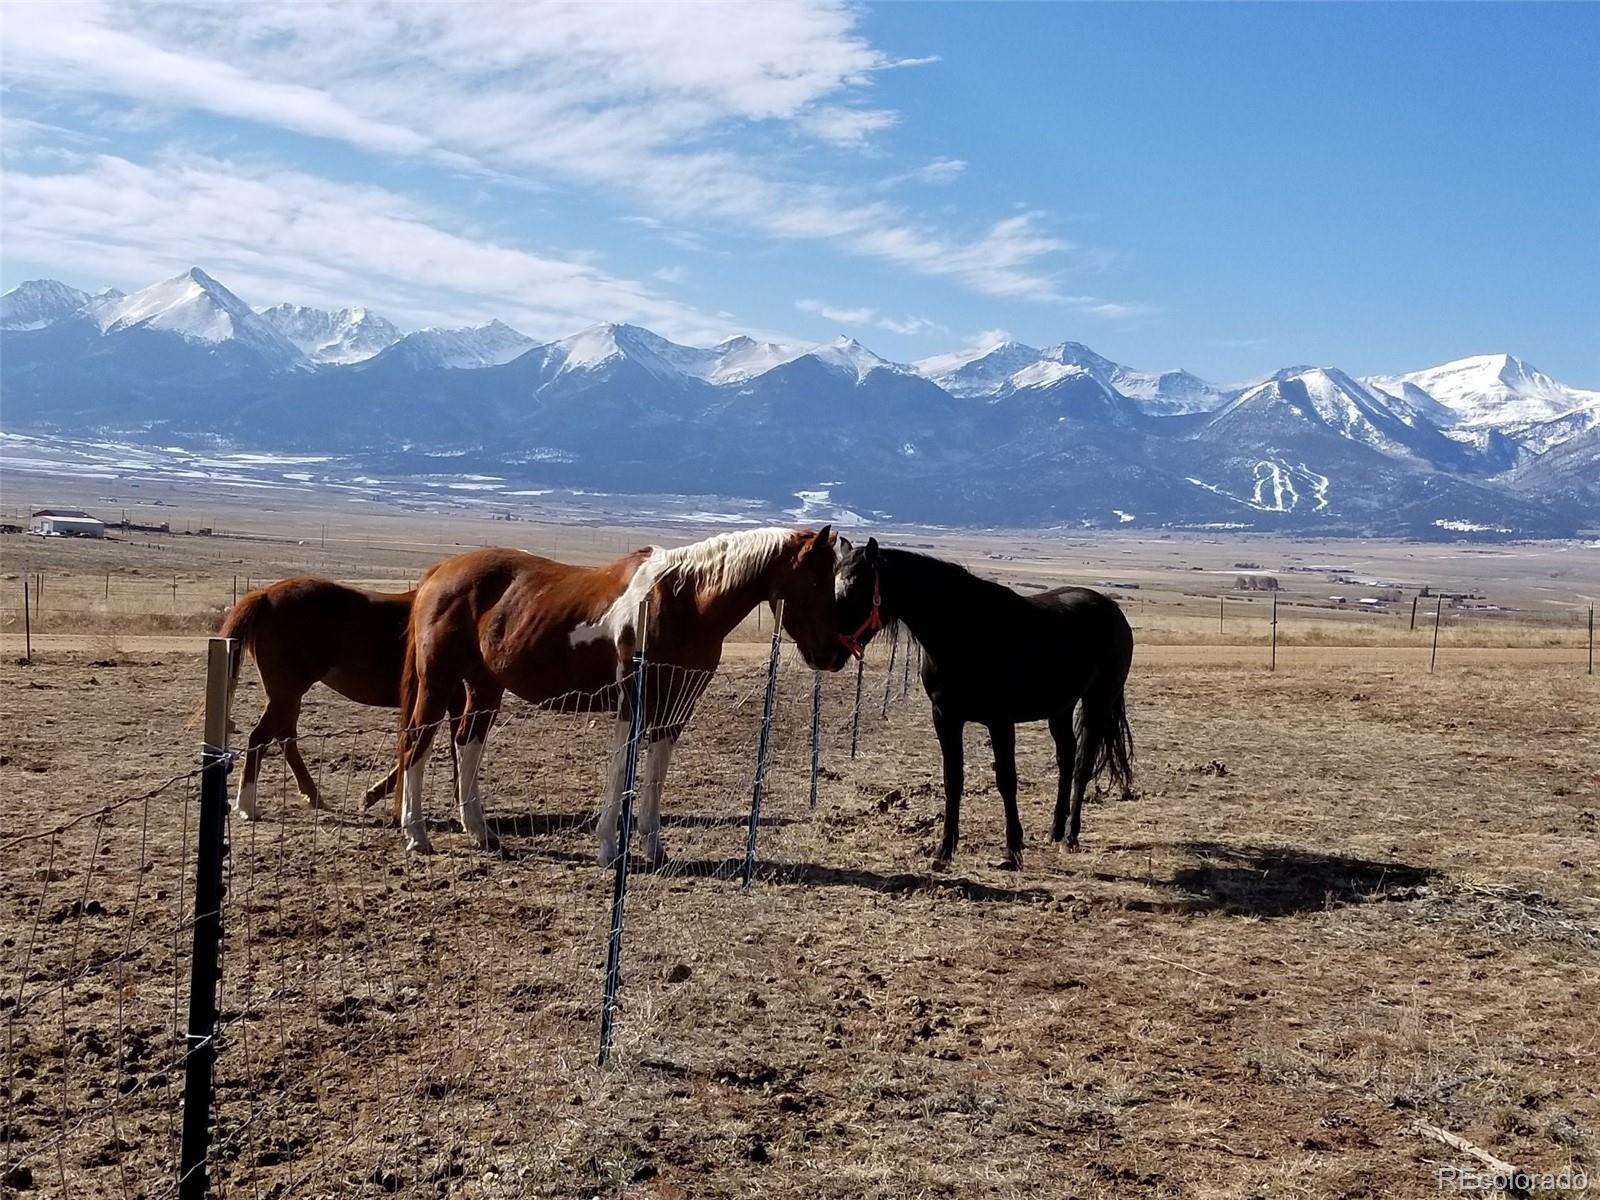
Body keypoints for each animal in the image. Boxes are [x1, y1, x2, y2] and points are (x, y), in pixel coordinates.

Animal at [222, 579, 441, 825]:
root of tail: (266, 595)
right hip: (286, 693)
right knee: (261, 736)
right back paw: (247, 806)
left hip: (287, 696)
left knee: (284, 736)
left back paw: (312, 795)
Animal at [395, 531, 851, 857]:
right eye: (815, 580)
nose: (835, 654)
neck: (686, 601)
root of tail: (439, 571)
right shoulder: (633, 705)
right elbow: (622, 770)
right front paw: (609, 847)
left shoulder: (674, 709)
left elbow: (655, 775)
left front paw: (653, 847)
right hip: (438, 683)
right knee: (417, 744)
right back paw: (417, 835)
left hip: (485, 686)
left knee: (467, 743)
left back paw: (481, 832)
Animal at [832, 540, 1132, 870]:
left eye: (855, 587)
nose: (831, 650)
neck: (967, 631)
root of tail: (1113, 611)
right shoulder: (945, 716)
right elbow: (953, 779)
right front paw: (943, 851)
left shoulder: (1000, 720)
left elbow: (1006, 780)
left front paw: (1012, 850)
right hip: (1061, 708)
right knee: (1066, 756)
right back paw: (1055, 829)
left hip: (1097, 702)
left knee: (1082, 763)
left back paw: (1070, 836)